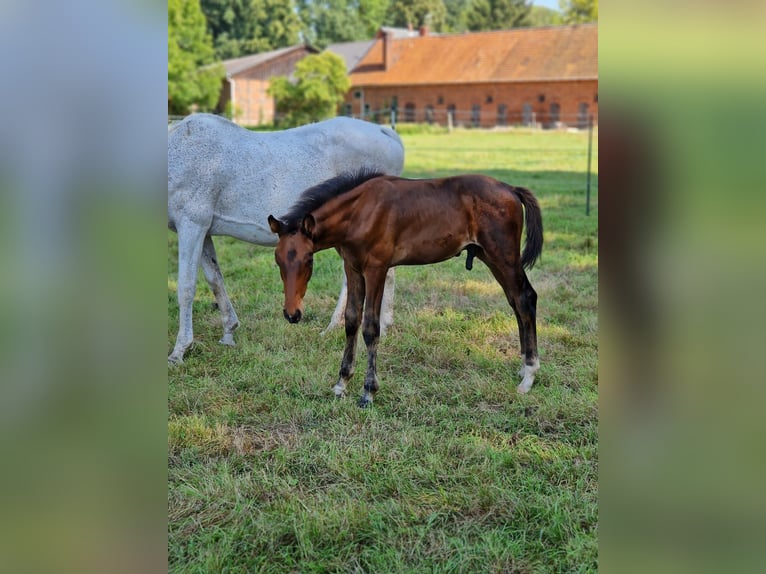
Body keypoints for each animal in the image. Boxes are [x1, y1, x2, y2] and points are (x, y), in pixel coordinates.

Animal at [168, 114, 404, 364]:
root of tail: (384, 132)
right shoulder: (204, 232)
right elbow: (215, 280)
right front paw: (228, 333)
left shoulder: (192, 224)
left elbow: (186, 287)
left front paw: (179, 351)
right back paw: (339, 328)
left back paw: (376, 328)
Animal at [268, 170, 544, 407]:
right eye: (278, 260)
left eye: (308, 260)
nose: (292, 314)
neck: (360, 212)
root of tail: (510, 189)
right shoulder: (352, 268)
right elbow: (351, 321)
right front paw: (341, 383)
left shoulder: (376, 269)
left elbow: (370, 327)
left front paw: (368, 392)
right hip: (490, 256)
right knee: (515, 301)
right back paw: (523, 366)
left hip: (503, 256)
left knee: (525, 298)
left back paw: (529, 376)